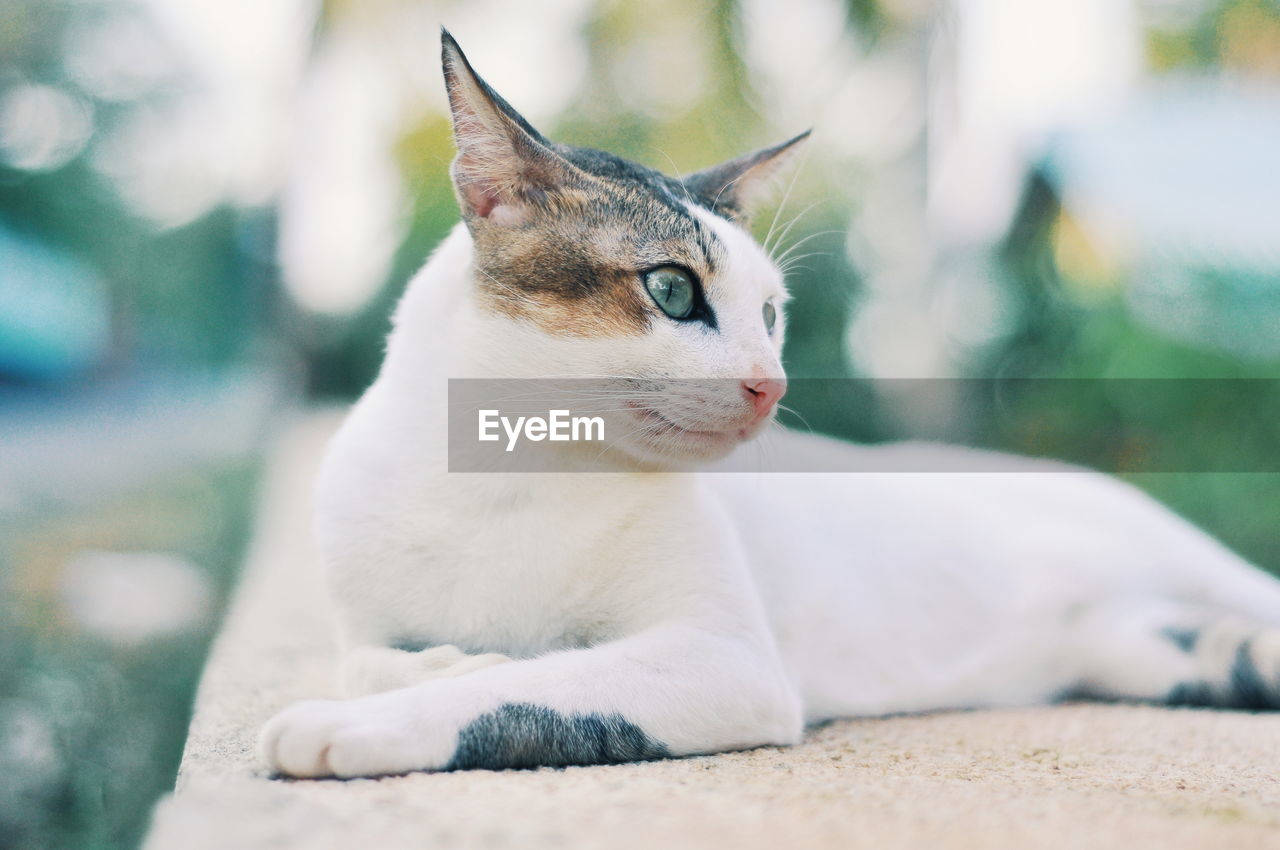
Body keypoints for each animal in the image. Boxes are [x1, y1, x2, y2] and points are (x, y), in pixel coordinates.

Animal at [257, 31, 1280, 778]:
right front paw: (439, 660)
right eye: (673, 290)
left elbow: (534, 687)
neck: (512, 476)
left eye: (772, 314)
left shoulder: (726, 662)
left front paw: (354, 722)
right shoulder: (359, 608)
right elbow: (368, 652)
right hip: (1156, 653)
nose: (772, 383)